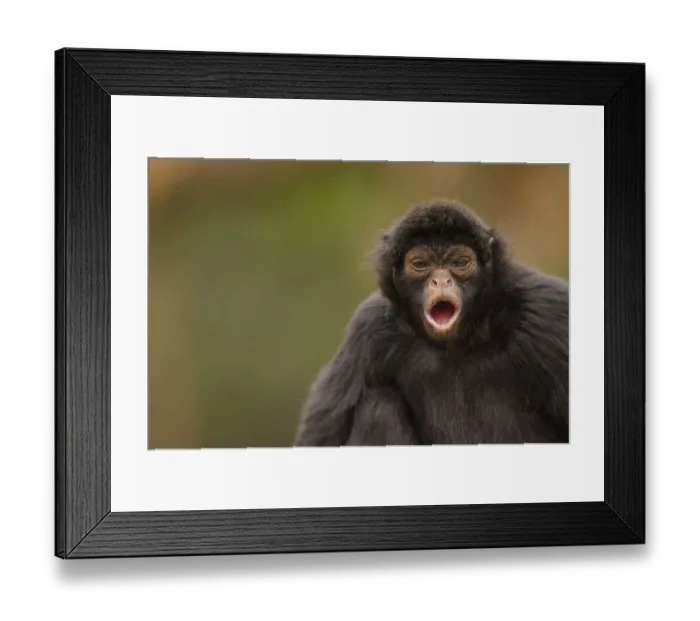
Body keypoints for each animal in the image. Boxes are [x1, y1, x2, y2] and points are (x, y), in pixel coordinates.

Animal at [294, 199, 569, 446]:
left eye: (460, 263)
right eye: (420, 265)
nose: (441, 281)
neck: (460, 345)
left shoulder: (546, 313)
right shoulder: (370, 329)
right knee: (379, 406)